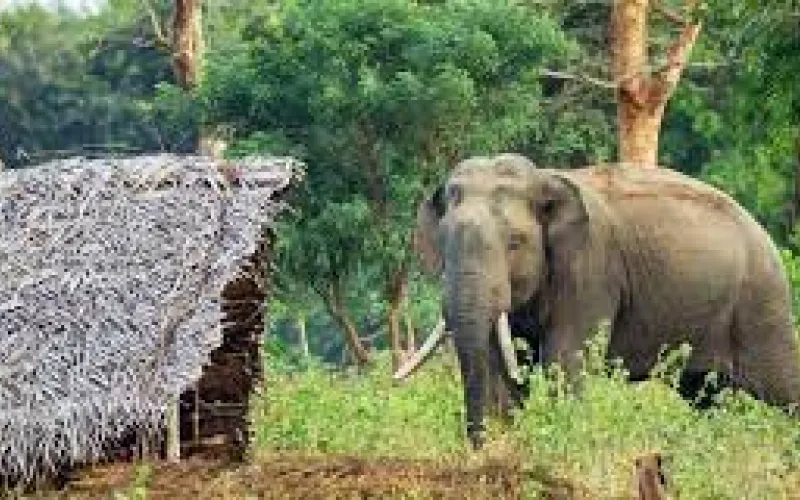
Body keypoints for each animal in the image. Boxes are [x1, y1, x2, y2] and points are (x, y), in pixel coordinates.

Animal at [394, 153, 800, 449]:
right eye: (443, 242)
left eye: (514, 243)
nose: (477, 448)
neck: (542, 179)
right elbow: (501, 366)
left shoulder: (591, 271)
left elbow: (564, 361)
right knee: (705, 395)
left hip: (761, 303)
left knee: (781, 388)